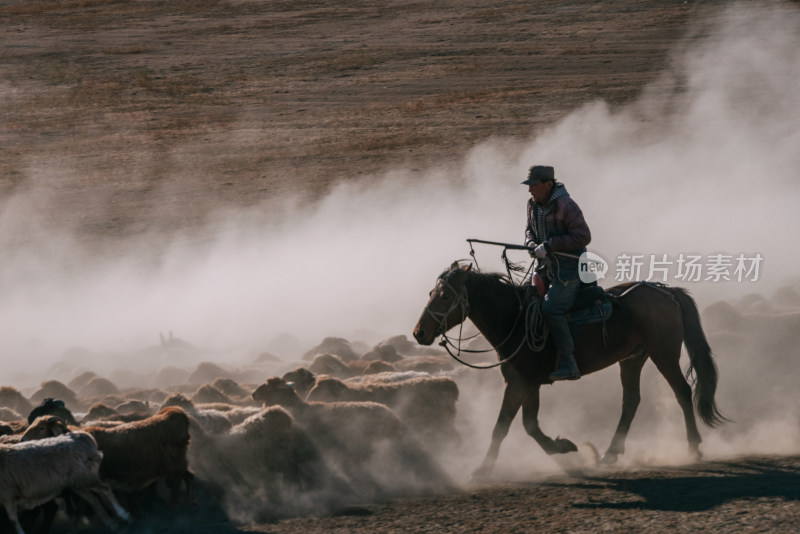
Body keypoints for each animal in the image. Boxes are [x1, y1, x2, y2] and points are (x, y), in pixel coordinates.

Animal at [412, 262, 724, 480]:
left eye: (443, 296)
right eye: (431, 293)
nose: (419, 333)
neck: (515, 319)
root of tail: (666, 291)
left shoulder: (518, 383)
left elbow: (502, 426)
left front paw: (482, 470)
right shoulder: (528, 384)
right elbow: (530, 425)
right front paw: (562, 447)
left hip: (664, 354)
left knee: (681, 391)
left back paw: (693, 447)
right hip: (633, 359)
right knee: (631, 401)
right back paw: (610, 453)